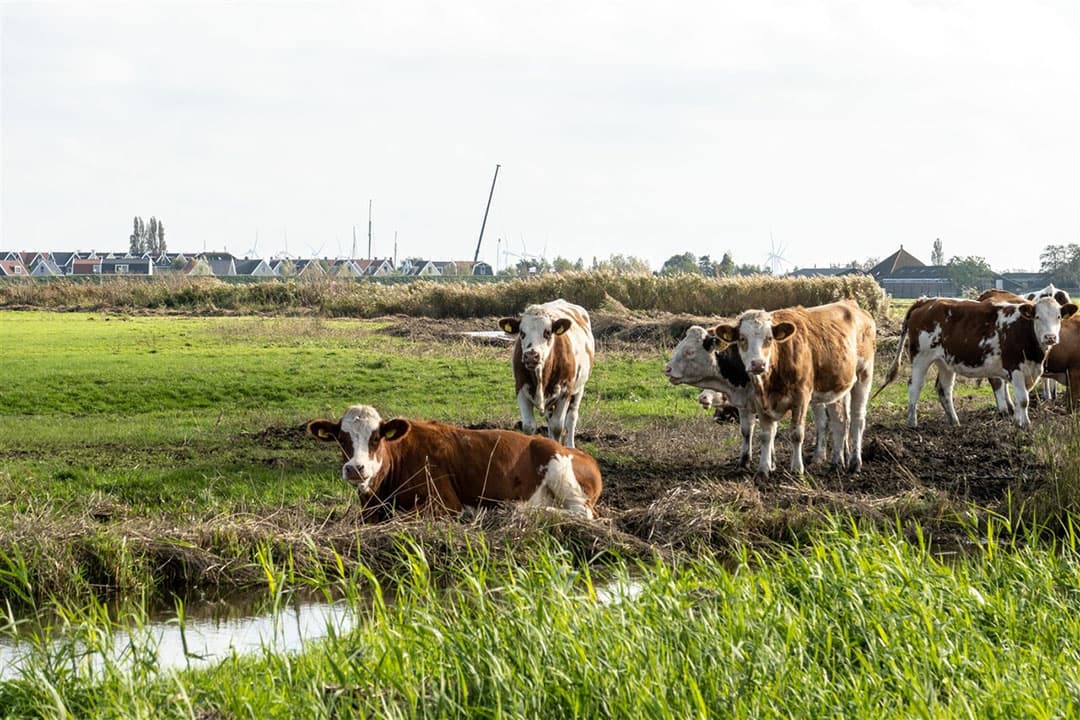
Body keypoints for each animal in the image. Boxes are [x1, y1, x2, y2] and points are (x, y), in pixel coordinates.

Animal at [307, 405, 602, 520]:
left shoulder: (443, 502)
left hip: (562, 473)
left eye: (376, 437)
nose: (356, 468)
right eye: (341, 438)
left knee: (581, 513)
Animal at [498, 299, 594, 448]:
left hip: (579, 389)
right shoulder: (520, 389)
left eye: (547, 333)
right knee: (550, 418)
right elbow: (529, 426)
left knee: (571, 417)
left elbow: (557, 426)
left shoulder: (565, 392)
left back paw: (570, 446)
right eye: (522, 333)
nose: (531, 356)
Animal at [711, 300, 876, 477]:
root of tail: (849, 303)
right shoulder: (759, 400)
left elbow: (797, 434)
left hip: (864, 375)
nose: (758, 364)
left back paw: (855, 463)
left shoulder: (801, 398)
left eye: (769, 338)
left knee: (858, 419)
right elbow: (765, 435)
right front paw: (763, 470)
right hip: (835, 386)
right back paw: (836, 464)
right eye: (742, 338)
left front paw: (797, 469)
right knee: (839, 422)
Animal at [875, 296, 1077, 429]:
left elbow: (1022, 399)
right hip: (920, 357)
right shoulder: (1016, 368)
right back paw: (912, 422)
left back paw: (954, 421)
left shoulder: (1030, 370)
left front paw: (1018, 421)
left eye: (1058, 317)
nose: (1050, 337)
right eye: (1037, 317)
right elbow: (1023, 399)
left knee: (944, 389)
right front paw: (1025, 425)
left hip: (945, 361)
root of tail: (927, 301)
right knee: (915, 386)